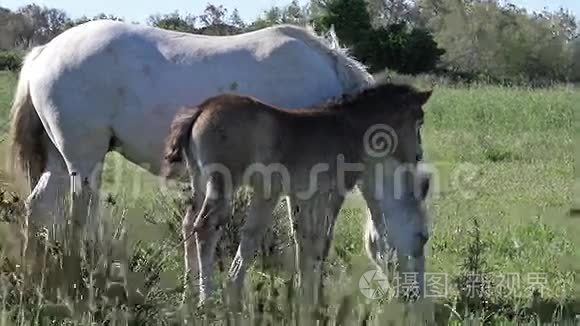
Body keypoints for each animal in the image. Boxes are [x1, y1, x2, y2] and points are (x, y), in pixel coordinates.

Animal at [6, 19, 428, 300]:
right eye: (422, 239)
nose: (417, 301)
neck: (339, 113)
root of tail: (45, 51)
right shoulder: (305, 186)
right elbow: (311, 242)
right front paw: (308, 299)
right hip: (85, 161)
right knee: (78, 219)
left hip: (61, 162)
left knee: (39, 209)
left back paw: (37, 275)